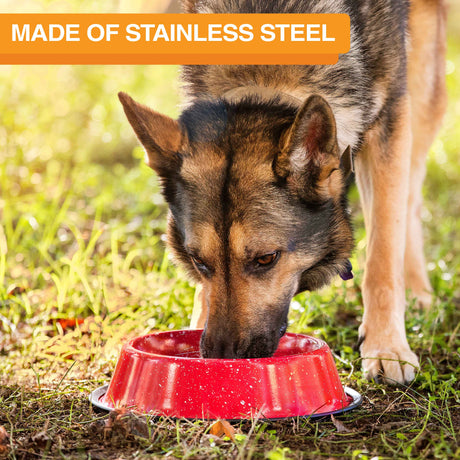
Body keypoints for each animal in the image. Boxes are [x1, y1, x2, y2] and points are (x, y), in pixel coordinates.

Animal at [118, 0, 446, 384]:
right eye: (199, 262)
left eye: (266, 259)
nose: (222, 357)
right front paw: (196, 323)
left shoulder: (391, 116)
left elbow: (383, 253)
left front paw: (387, 347)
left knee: (410, 197)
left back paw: (417, 290)